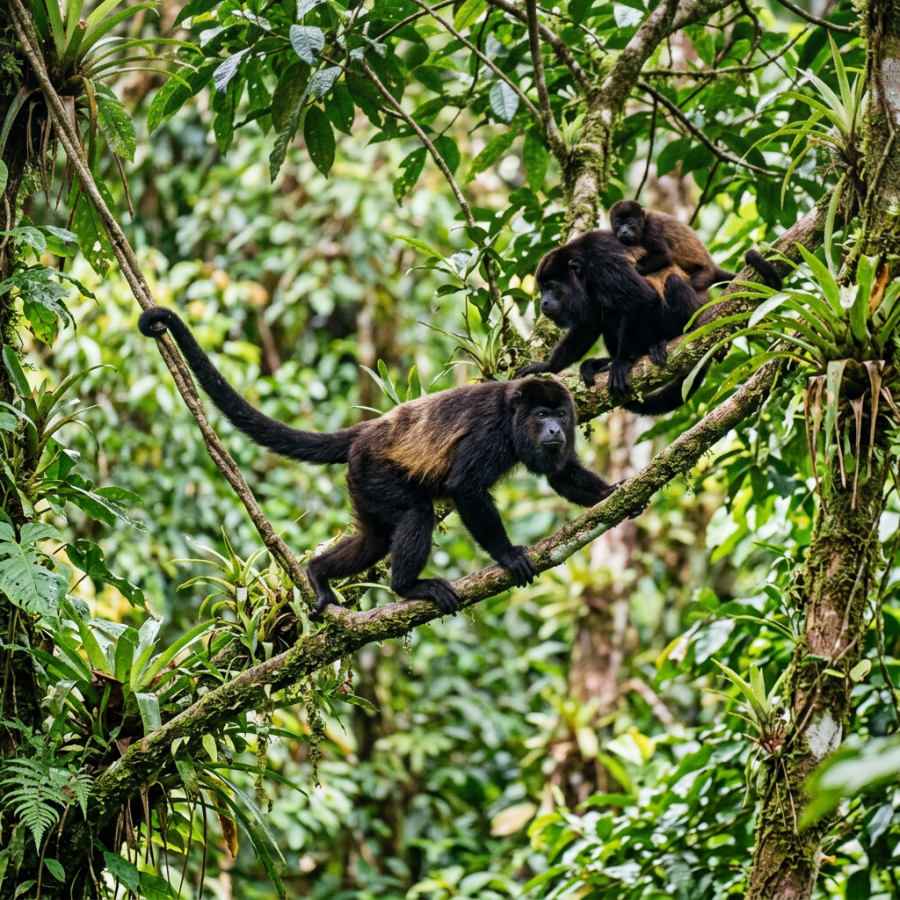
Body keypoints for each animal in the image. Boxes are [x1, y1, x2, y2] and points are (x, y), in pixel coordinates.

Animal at [138, 307, 618, 617]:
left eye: (560, 414)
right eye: (540, 416)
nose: (555, 431)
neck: (513, 415)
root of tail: (364, 432)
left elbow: (561, 474)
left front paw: (614, 495)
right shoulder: (490, 434)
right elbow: (465, 487)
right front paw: (508, 555)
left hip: (361, 484)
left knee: (374, 540)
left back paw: (318, 575)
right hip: (375, 472)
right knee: (416, 514)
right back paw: (409, 587)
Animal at [514, 230, 783, 415]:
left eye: (551, 287)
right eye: (542, 289)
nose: (544, 302)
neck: (582, 269)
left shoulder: (604, 265)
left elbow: (643, 299)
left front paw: (622, 362)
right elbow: (587, 326)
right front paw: (547, 366)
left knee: (672, 283)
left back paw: (655, 344)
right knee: (611, 313)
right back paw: (605, 362)